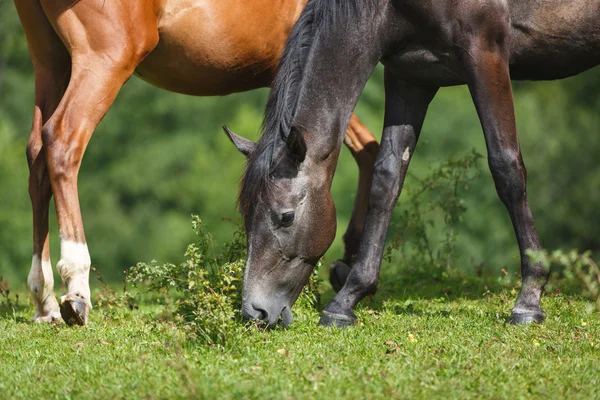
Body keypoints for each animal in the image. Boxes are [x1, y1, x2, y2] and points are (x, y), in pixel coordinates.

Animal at [15, 0, 380, 324]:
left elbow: (367, 149)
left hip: (51, 62)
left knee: (37, 155)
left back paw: (44, 299)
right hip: (103, 61)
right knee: (62, 140)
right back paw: (76, 289)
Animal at [226, 0, 600, 326]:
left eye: (286, 216)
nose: (254, 312)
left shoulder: (486, 54)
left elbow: (506, 168)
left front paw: (530, 298)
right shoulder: (410, 76)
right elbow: (387, 179)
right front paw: (347, 300)